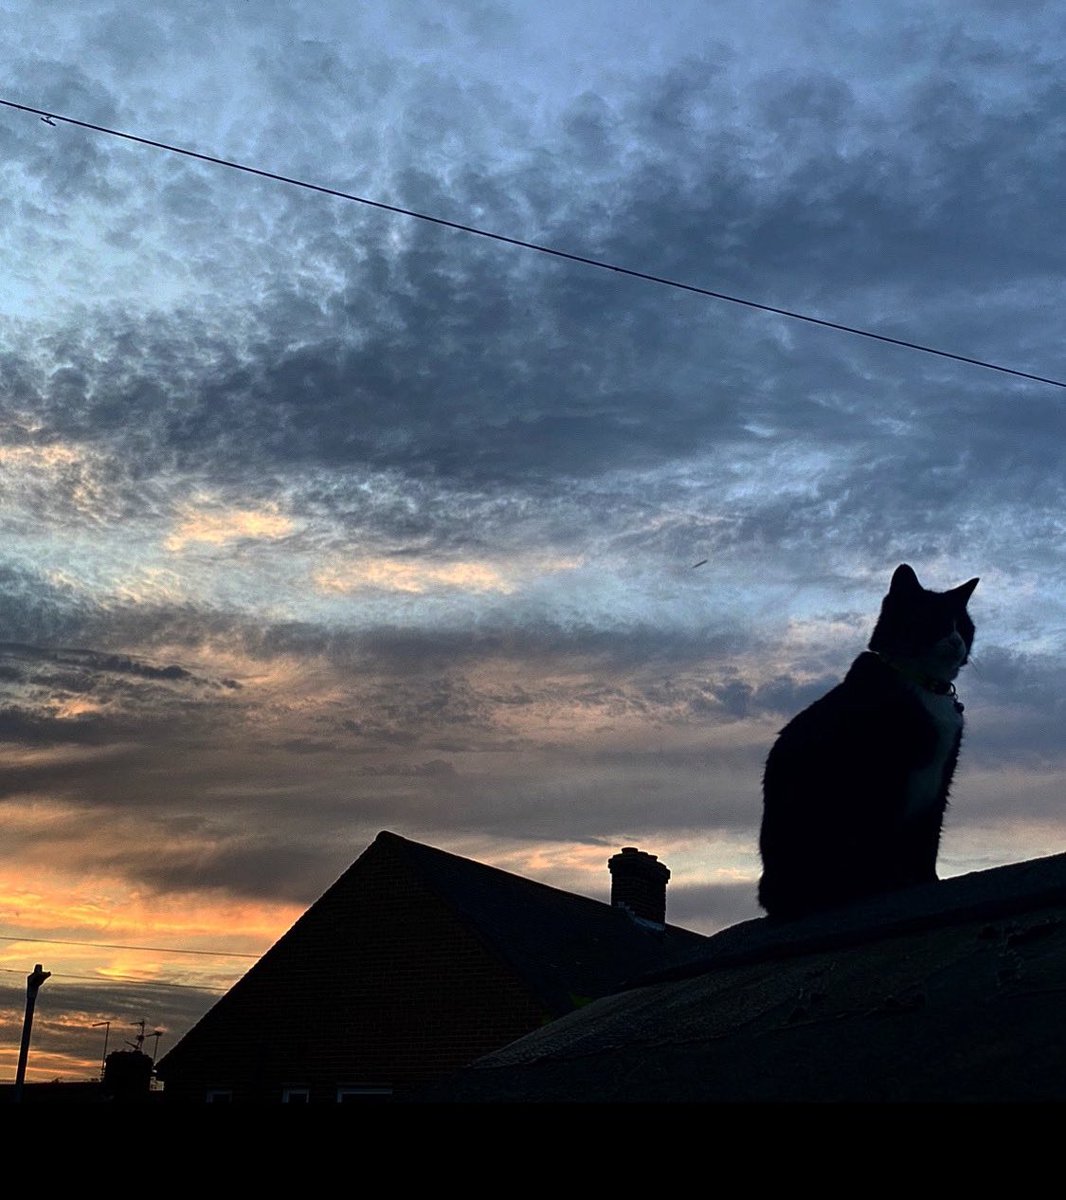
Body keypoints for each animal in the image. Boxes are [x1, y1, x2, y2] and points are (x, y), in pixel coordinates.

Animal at [758, 561, 974, 916]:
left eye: (965, 626)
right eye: (934, 620)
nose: (957, 641)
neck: (924, 685)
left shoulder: (942, 777)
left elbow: (929, 834)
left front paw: (927, 880)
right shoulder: (882, 771)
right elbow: (882, 836)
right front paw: (885, 886)